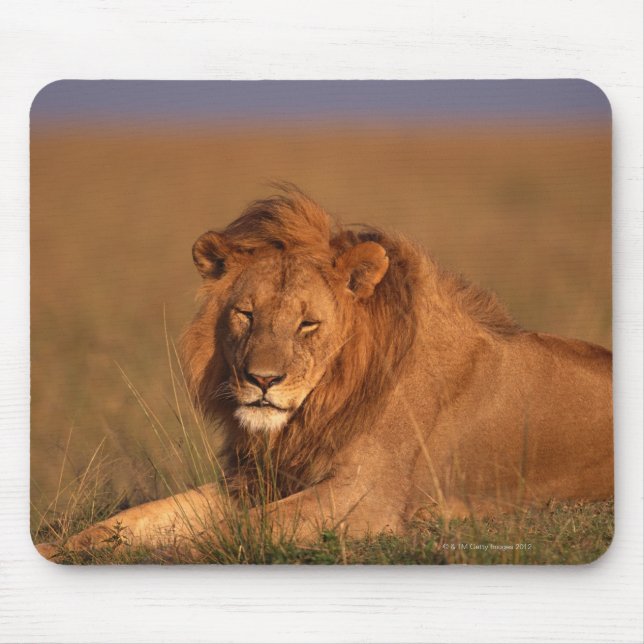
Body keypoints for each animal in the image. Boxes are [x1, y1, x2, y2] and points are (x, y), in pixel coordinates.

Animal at [36, 187, 613, 559]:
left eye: (308, 324)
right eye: (246, 314)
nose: (262, 381)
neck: (323, 403)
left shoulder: (366, 499)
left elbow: (238, 530)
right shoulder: (257, 479)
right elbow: (138, 518)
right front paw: (57, 546)